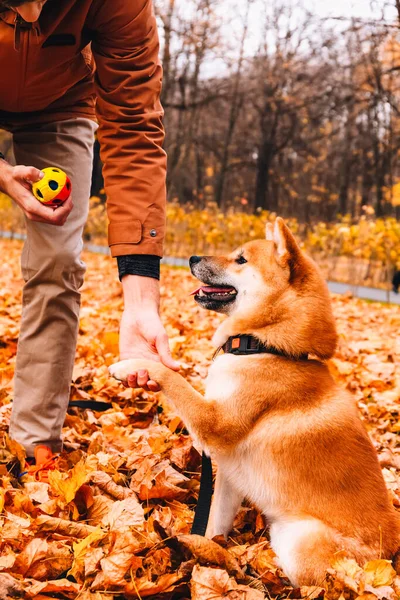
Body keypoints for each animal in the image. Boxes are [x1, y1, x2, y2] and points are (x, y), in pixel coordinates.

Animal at [109, 217, 400, 584]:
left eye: (241, 259)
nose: (192, 258)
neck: (265, 346)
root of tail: (389, 556)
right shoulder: (229, 475)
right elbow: (214, 527)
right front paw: (209, 553)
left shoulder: (214, 424)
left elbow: (175, 378)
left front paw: (133, 364)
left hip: (300, 540)